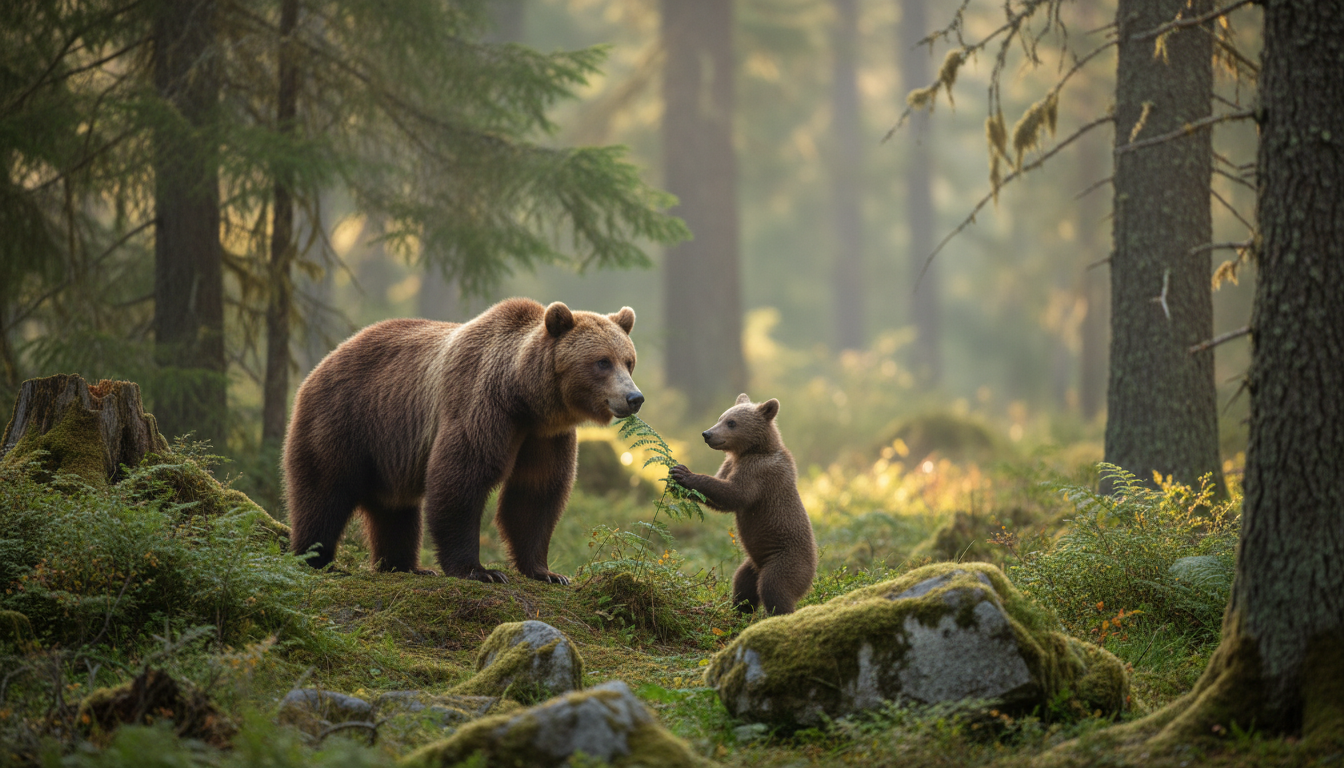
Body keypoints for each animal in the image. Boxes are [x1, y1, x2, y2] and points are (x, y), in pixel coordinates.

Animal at [283, 298, 643, 584]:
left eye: (628, 361)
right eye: (602, 361)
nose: (634, 397)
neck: (525, 397)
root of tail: (323, 362)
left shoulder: (545, 436)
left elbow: (535, 493)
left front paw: (548, 572)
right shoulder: (481, 404)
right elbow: (461, 479)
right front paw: (481, 570)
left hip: (390, 450)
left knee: (396, 508)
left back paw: (406, 565)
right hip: (345, 422)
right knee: (323, 493)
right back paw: (317, 559)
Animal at [669, 394, 816, 615]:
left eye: (731, 422)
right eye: (721, 417)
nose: (707, 434)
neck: (750, 451)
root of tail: (814, 570)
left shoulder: (759, 472)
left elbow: (735, 494)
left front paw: (685, 473)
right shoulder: (730, 464)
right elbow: (720, 499)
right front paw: (677, 483)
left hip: (787, 560)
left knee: (774, 587)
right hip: (754, 563)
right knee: (742, 583)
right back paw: (739, 611)